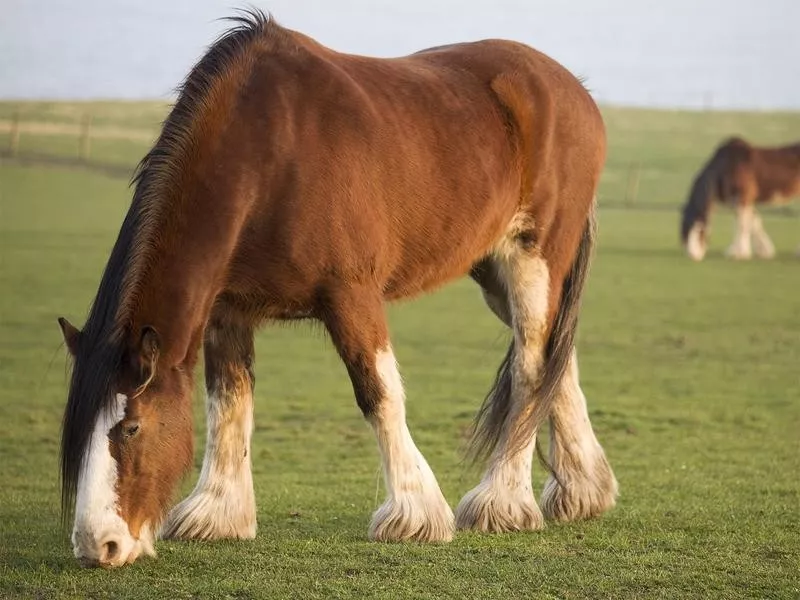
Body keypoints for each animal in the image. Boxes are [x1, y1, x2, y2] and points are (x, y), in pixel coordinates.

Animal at [59, 11, 616, 568]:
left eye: (131, 427)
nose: (97, 545)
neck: (268, 153)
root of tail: (576, 91)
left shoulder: (352, 295)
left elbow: (379, 393)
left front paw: (414, 515)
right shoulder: (228, 310)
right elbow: (228, 403)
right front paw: (218, 514)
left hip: (533, 258)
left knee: (531, 366)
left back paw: (503, 501)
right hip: (495, 269)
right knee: (555, 357)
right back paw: (582, 490)